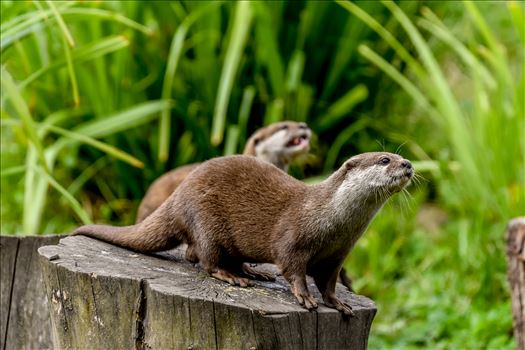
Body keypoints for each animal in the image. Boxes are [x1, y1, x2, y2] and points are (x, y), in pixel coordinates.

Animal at [71, 152, 412, 316]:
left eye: (398, 156)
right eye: (385, 159)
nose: (408, 164)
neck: (331, 219)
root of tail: (178, 194)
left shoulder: (337, 255)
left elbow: (328, 283)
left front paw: (338, 303)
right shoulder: (293, 237)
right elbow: (293, 268)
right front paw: (304, 297)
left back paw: (252, 271)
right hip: (205, 221)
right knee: (203, 259)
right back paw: (233, 277)